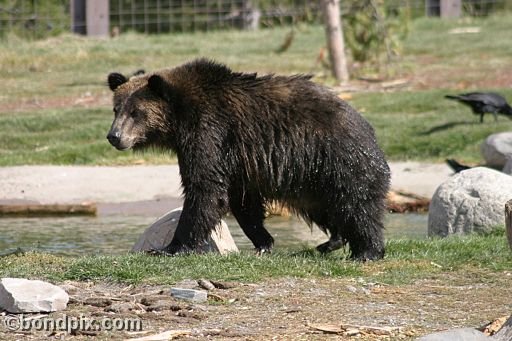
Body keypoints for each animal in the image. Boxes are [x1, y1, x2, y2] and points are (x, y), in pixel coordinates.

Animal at [106, 59, 390, 260]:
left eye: (136, 112)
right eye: (116, 109)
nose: (114, 136)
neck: (179, 121)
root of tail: (364, 123)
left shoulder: (210, 132)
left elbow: (205, 189)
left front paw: (170, 247)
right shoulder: (239, 159)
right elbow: (242, 200)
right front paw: (263, 242)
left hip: (337, 157)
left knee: (357, 203)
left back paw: (367, 251)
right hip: (312, 177)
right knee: (323, 205)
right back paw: (331, 241)